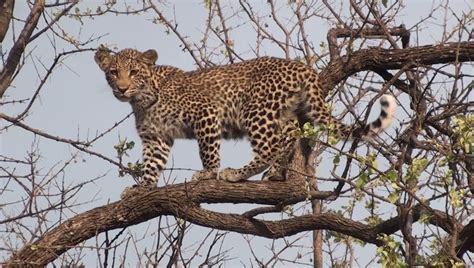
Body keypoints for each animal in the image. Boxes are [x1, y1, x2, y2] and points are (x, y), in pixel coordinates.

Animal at [93, 47, 396, 187]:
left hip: (256, 110)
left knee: (268, 147)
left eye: (134, 72)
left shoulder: (206, 113)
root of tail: (302, 67)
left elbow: (208, 151)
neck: (143, 99)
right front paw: (142, 188)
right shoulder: (156, 137)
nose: (122, 88)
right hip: (282, 113)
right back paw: (275, 172)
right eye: (113, 72)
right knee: (288, 137)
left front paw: (208, 173)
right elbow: (152, 165)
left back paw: (237, 173)